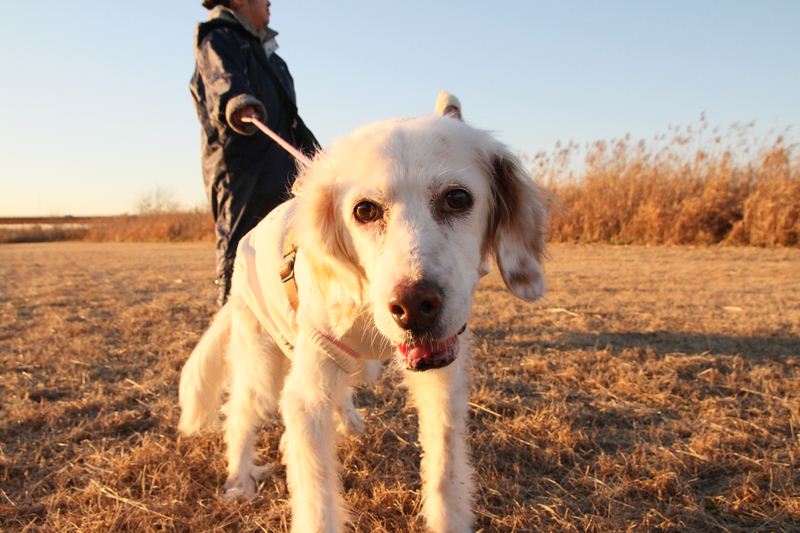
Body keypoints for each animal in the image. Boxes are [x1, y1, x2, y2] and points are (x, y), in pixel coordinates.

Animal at [178, 114, 547, 532]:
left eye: (457, 199)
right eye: (365, 211)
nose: (414, 306)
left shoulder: (441, 382)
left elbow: (444, 474)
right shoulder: (306, 399)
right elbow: (318, 504)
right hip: (263, 360)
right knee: (241, 412)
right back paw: (240, 478)